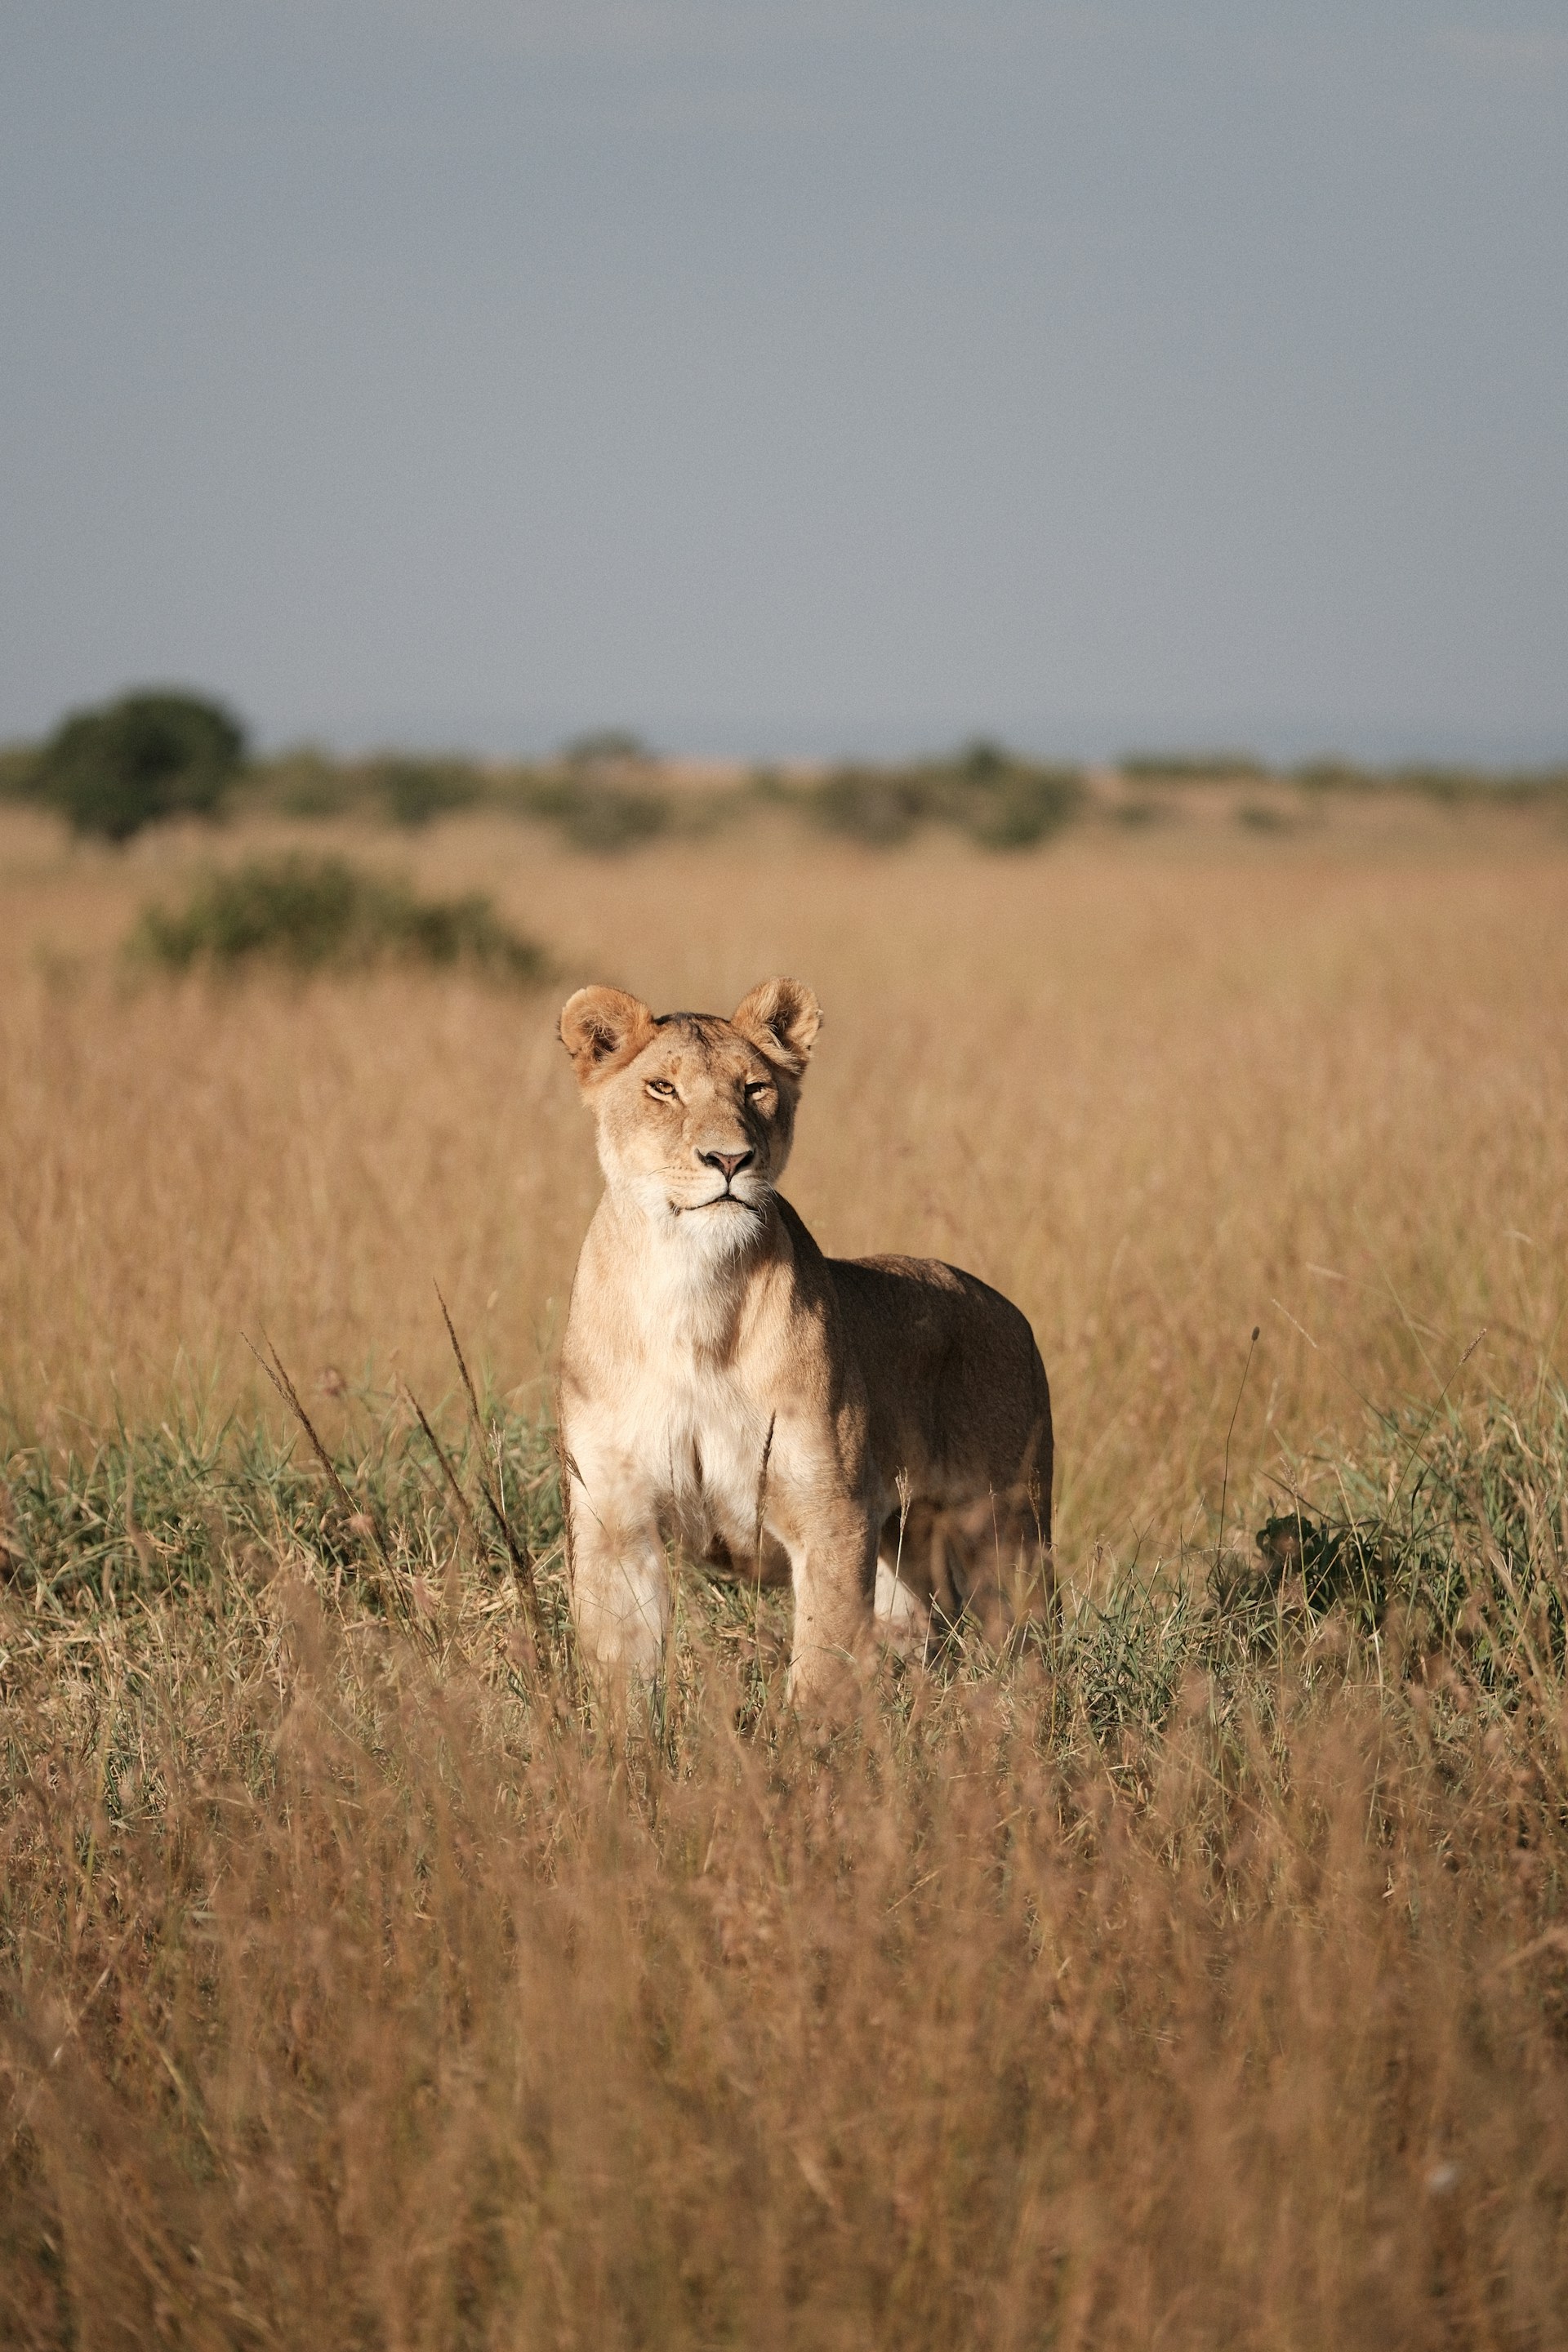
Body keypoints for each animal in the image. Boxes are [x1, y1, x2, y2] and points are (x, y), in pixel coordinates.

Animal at [556, 977, 1053, 1706]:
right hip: (906, 1544)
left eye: (755, 1088)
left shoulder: (830, 1516)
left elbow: (820, 1671)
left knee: (1028, 1632)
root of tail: (1011, 1310)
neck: (693, 1287)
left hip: (1006, 1530)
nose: (730, 1159)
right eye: (663, 1089)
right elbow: (622, 1676)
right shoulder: (616, 1522)